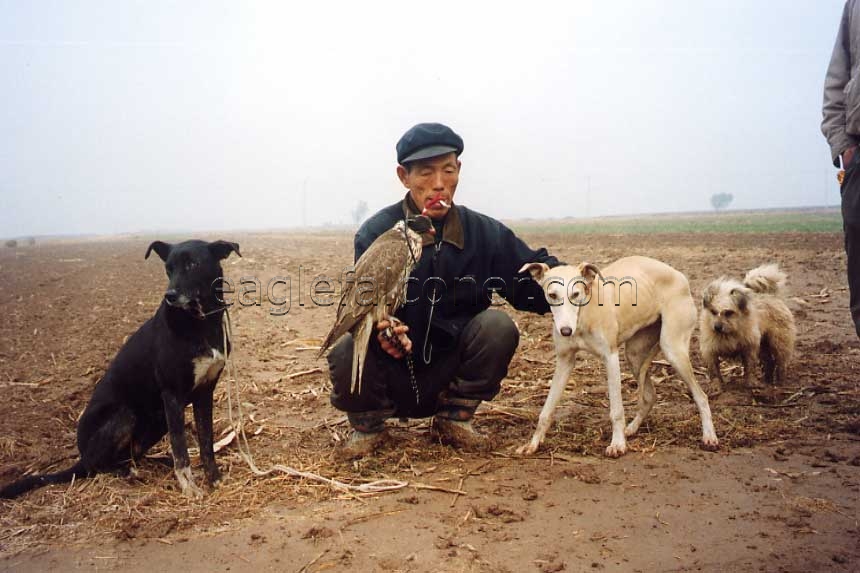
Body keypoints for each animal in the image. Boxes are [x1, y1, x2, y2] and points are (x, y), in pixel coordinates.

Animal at [1, 239, 242, 498]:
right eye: (168, 268)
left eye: (193, 264)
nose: (170, 296)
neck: (201, 321)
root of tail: (81, 456)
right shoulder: (172, 395)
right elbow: (180, 449)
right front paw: (190, 488)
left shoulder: (204, 392)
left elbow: (206, 442)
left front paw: (214, 478)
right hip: (125, 414)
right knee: (97, 466)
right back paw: (126, 473)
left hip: (157, 419)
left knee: (133, 454)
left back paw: (155, 463)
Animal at [516, 256, 720, 458]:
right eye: (552, 295)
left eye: (575, 294)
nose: (566, 331)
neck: (584, 314)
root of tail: (680, 276)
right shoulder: (564, 361)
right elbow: (546, 410)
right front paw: (533, 444)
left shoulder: (611, 358)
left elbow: (616, 410)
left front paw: (617, 444)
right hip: (634, 355)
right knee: (649, 396)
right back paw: (632, 428)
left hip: (673, 349)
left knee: (701, 396)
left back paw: (709, 436)